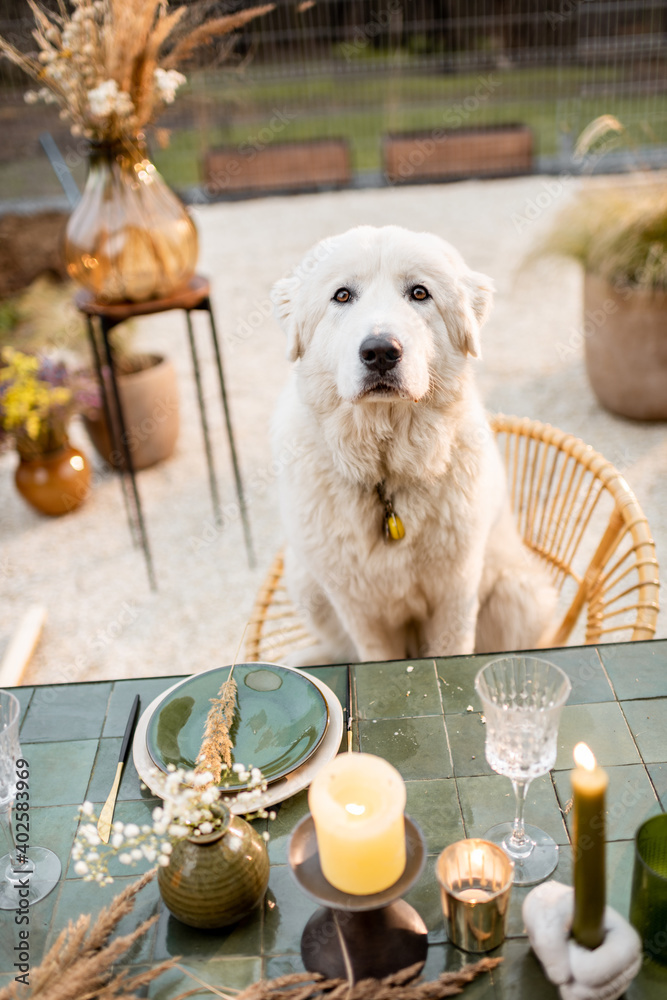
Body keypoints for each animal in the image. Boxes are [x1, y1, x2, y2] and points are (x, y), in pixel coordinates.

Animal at [268, 225, 556, 664]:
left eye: (419, 293)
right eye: (342, 295)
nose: (380, 352)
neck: (387, 474)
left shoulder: (455, 594)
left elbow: (455, 649)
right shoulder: (357, 607)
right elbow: (372, 656)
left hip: (519, 596)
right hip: (305, 585)